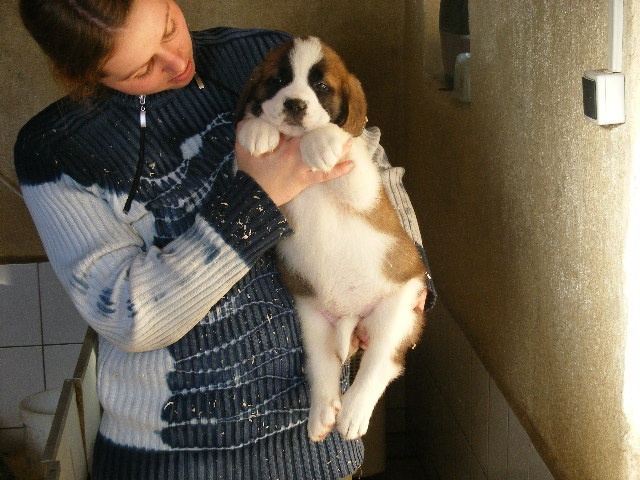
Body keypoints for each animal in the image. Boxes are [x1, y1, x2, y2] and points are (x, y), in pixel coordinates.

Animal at [236, 36, 426, 441]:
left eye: (322, 87)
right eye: (277, 80)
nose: (294, 104)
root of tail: (348, 311)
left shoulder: (362, 187)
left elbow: (343, 140)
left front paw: (323, 141)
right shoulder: (267, 199)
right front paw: (257, 129)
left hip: (398, 311)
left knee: (382, 364)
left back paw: (353, 412)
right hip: (313, 322)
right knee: (323, 370)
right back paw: (323, 412)